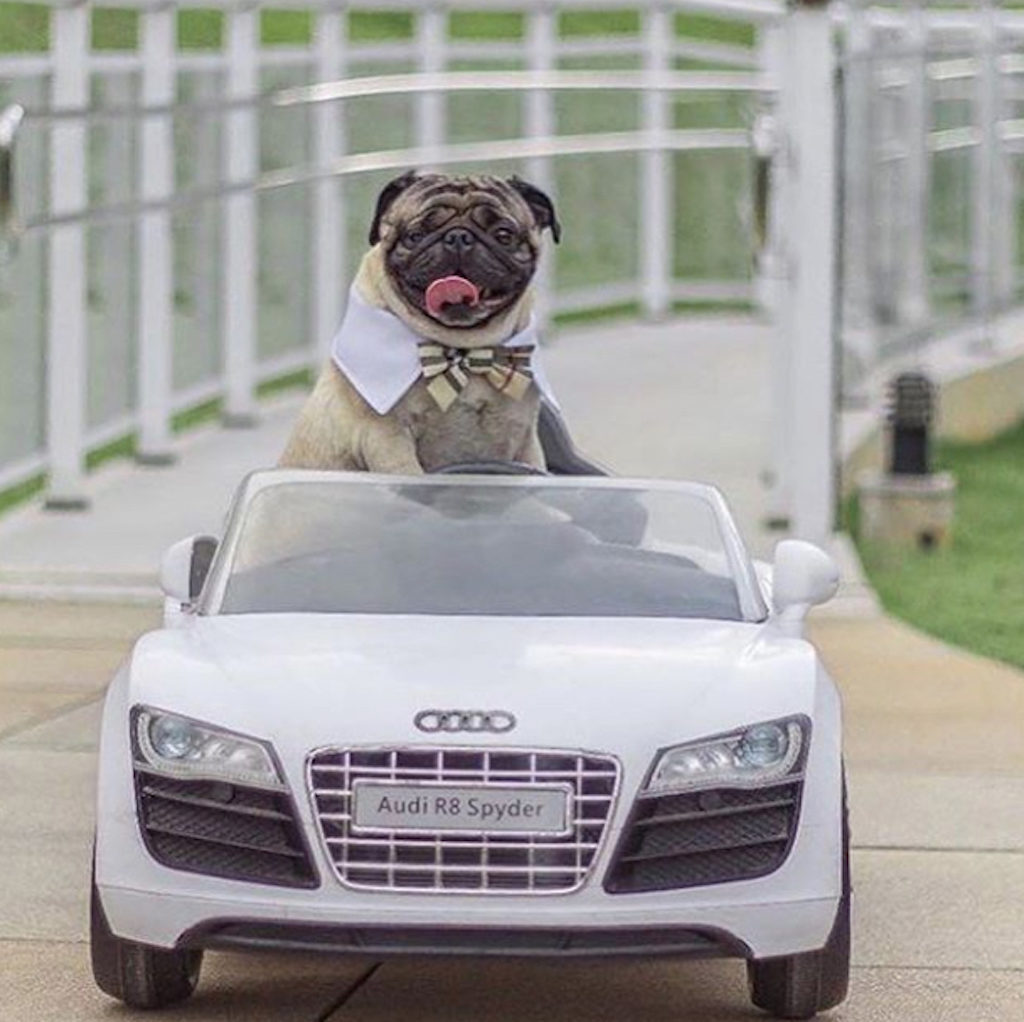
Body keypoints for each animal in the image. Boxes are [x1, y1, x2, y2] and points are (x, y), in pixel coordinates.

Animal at [278, 175, 561, 475]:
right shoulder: (387, 439)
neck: (463, 348)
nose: (458, 237)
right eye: (415, 235)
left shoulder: (523, 439)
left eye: (503, 235)